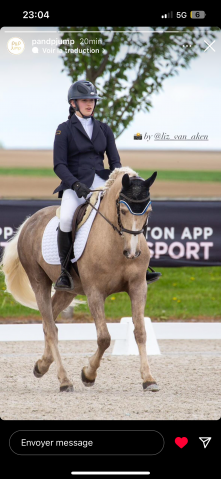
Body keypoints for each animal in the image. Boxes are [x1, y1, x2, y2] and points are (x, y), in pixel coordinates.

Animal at [0, 167, 159, 392]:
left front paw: (148, 379)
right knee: (50, 327)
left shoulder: (138, 287)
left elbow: (140, 332)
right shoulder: (95, 292)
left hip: (68, 291)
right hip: (39, 281)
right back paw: (64, 381)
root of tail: (30, 221)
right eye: (123, 210)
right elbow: (104, 338)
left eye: (148, 211)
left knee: (49, 323)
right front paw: (88, 374)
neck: (115, 244)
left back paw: (42, 365)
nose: (132, 252)